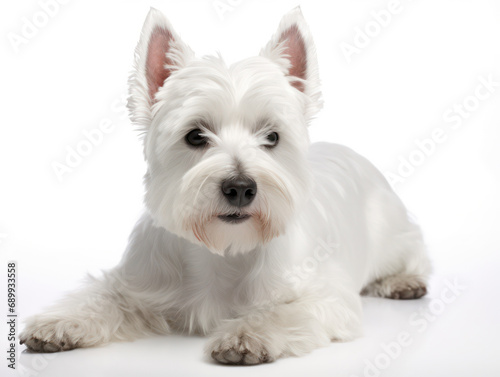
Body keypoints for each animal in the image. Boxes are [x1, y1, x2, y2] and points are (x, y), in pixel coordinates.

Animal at [20, 6, 430, 364]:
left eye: (271, 136)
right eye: (195, 136)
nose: (241, 188)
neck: (223, 252)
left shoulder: (326, 297)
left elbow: (284, 312)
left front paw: (246, 336)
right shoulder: (137, 283)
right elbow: (100, 297)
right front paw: (58, 323)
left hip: (393, 231)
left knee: (414, 255)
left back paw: (403, 281)